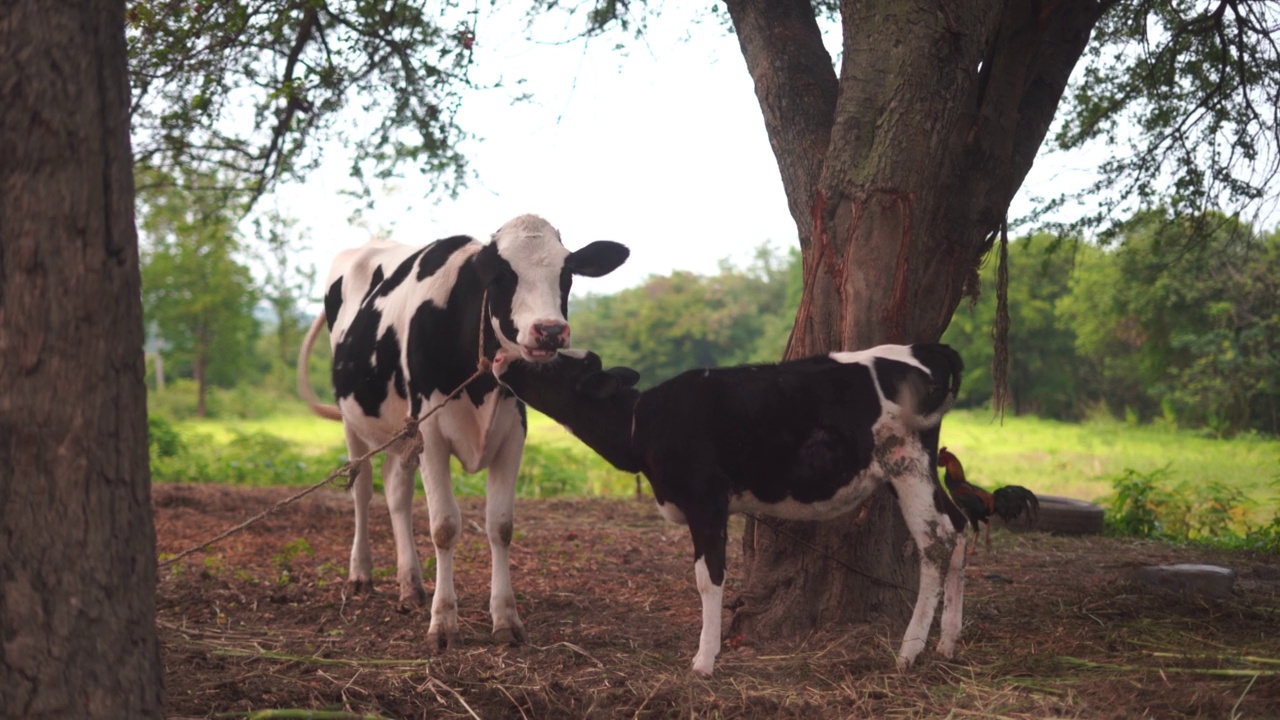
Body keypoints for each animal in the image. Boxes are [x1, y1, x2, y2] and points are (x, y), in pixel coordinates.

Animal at [294, 213, 624, 650]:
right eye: (502, 274)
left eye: (566, 272)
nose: (550, 330)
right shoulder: (431, 433)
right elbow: (445, 526)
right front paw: (443, 623)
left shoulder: (512, 433)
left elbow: (500, 526)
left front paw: (505, 618)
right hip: (355, 420)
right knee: (362, 488)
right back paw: (361, 574)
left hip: (403, 432)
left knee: (397, 492)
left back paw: (410, 585)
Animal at [491, 340, 967, 671]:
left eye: (550, 360)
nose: (498, 357)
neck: (641, 424)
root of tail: (926, 348)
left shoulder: (706, 503)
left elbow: (709, 578)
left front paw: (705, 660)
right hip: (913, 467)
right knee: (960, 525)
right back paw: (948, 642)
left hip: (906, 461)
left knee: (937, 540)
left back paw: (909, 651)